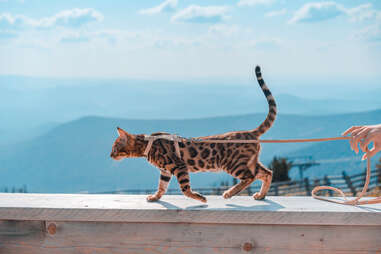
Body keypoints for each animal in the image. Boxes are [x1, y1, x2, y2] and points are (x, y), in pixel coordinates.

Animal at [110, 66, 276, 203]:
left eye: (115, 147)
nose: (110, 156)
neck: (148, 144)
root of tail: (250, 133)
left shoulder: (178, 165)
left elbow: (185, 189)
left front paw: (200, 198)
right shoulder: (165, 171)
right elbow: (162, 186)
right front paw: (155, 197)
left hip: (233, 163)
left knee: (250, 177)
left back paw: (229, 193)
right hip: (249, 162)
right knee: (267, 172)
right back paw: (261, 195)